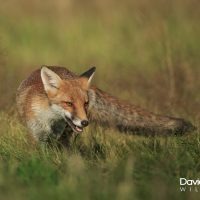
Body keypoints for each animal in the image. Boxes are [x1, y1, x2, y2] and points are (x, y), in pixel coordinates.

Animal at [16, 66, 195, 143]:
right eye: (69, 103)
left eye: (85, 104)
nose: (85, 122)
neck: (49, 120)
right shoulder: (36, 136)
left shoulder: (57, 138)